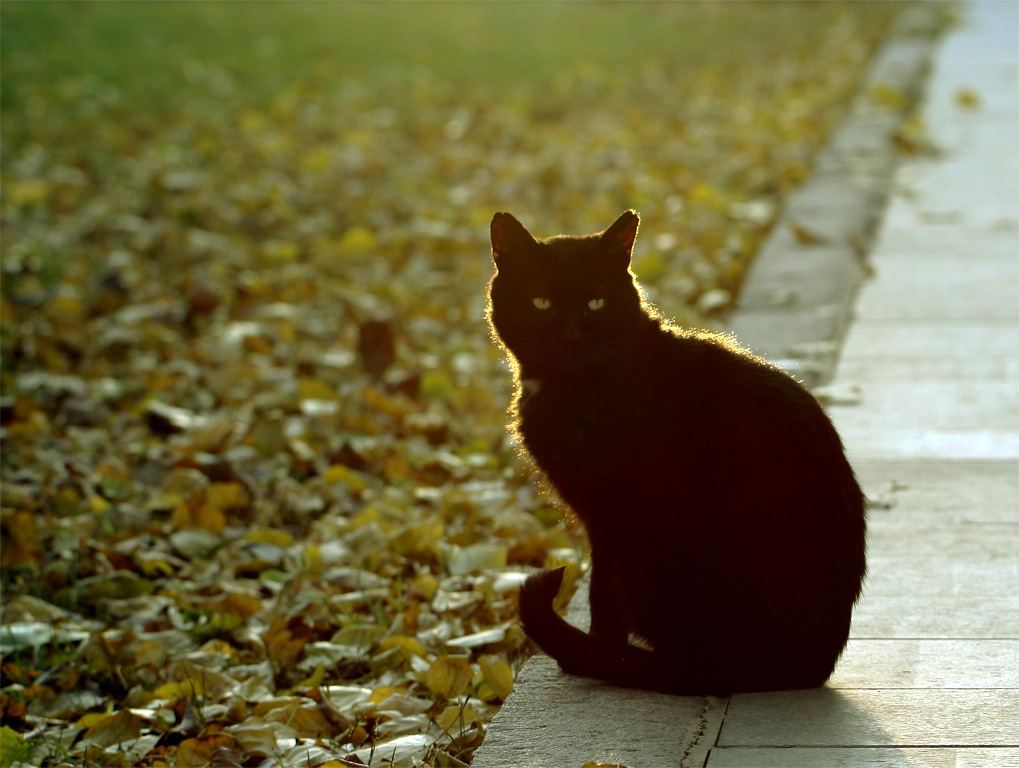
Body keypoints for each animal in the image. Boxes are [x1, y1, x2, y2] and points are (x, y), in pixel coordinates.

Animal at [489, 209, 864, 692]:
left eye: (596, 302)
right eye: (541, 303)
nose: (571, 336)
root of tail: (813, 666)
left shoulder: (607, 517)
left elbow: (600, 591)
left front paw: (596, 652)